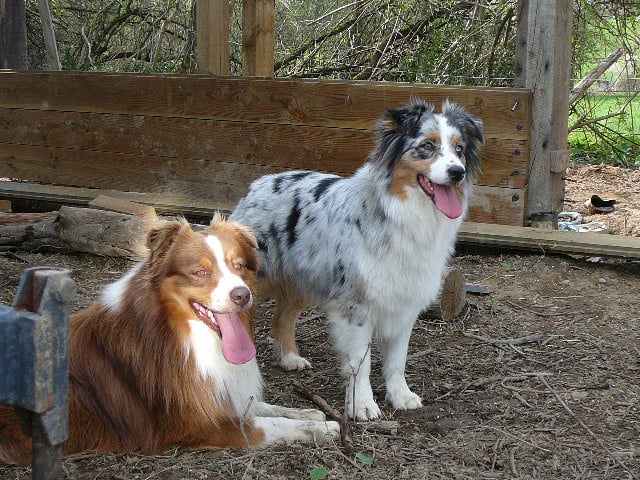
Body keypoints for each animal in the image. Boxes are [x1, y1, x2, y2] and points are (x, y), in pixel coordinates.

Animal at [0, 217, 340, 464]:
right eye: (200, 272)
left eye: (238, 265)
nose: (242, 295)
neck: (179, 334)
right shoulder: (197, 424)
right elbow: (268, 424)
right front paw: (321, 427)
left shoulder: (216, 393)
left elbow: (262, 407)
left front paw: (308, 413)